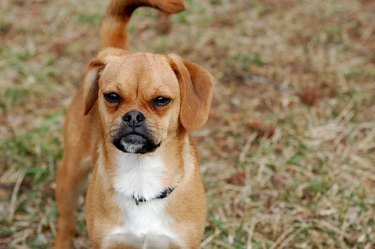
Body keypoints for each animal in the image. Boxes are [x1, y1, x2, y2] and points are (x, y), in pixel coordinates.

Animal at [54, 0, 216, 249]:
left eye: (161, 100)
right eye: (112, 96)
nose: (133, 116)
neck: (140, 177)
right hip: (71, 175)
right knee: (66, 222)